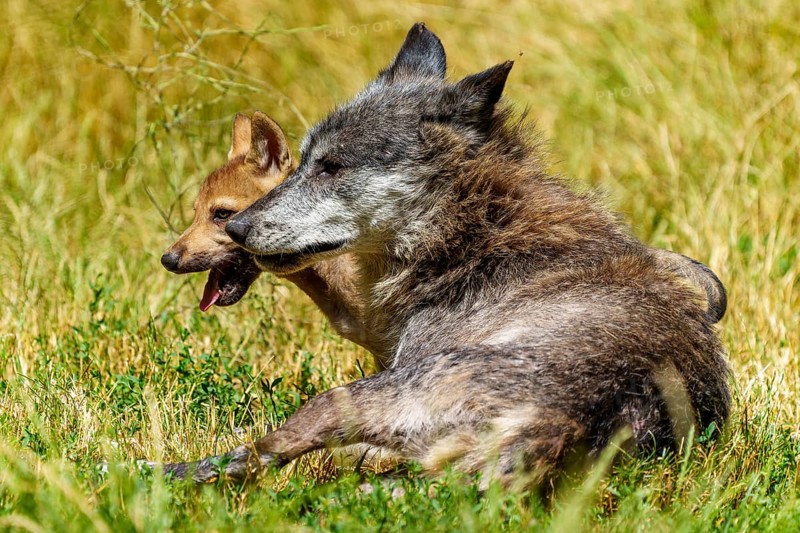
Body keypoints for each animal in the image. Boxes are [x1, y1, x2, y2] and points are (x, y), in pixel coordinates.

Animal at [159, 24, 730, 489]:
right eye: (302, 162)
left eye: (331, 167)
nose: (237, 228)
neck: (470, 230)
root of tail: (563, 427)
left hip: (358, 396)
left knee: (253, 456)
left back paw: (160, 473)